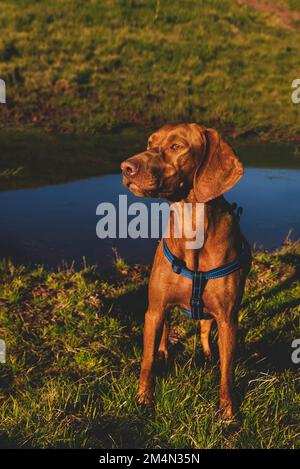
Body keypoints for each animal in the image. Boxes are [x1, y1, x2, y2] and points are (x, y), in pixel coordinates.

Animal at [121, 122, 251, 418]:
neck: (192, 228)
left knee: (204, 329)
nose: (125, 167)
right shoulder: (154, 309)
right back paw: (163, 351)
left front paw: (228, 412)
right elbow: (146, 362)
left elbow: (227, 373)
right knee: (166, 331)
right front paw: (144, 398)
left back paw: (207, 353)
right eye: (150, 143)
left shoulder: (228, 319)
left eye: (176, 146)